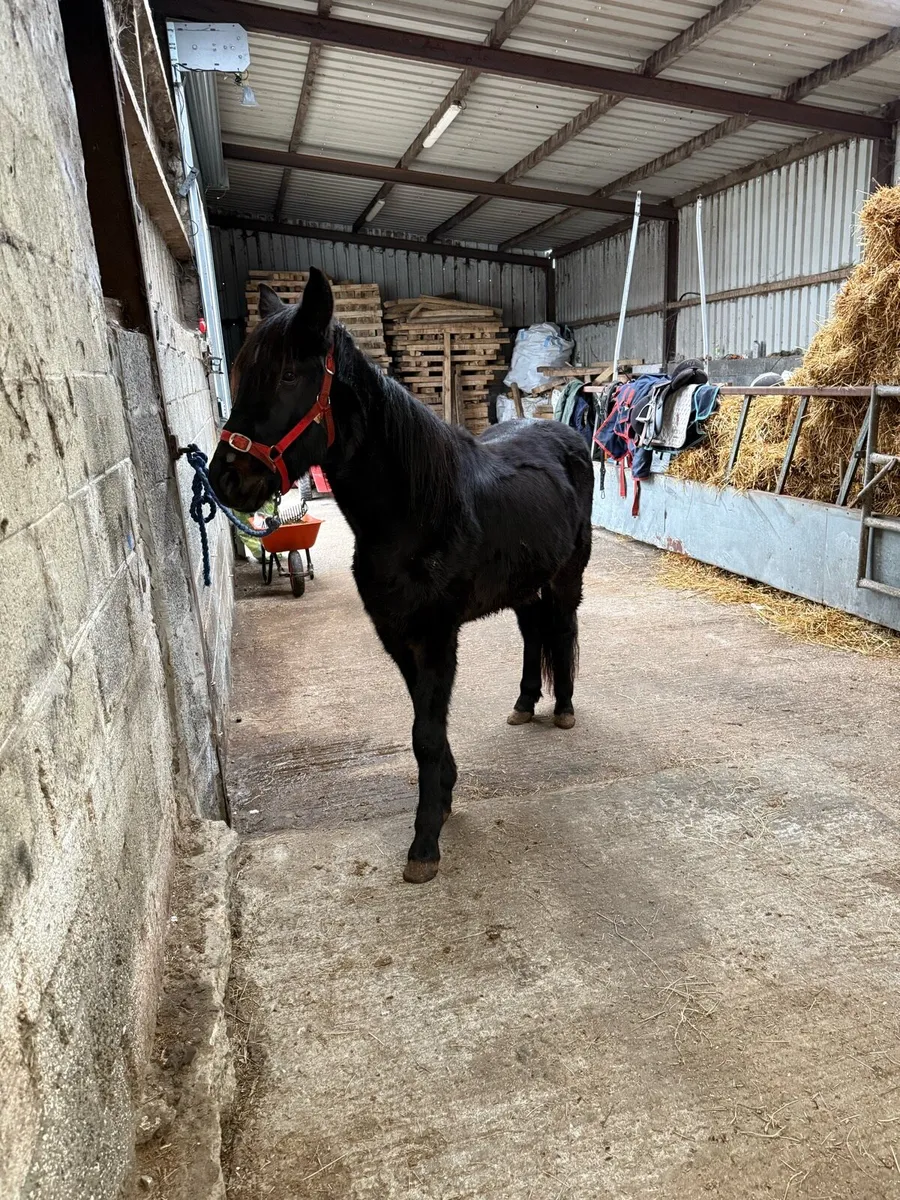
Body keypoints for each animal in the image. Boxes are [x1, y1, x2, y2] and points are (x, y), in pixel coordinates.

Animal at [209, 268, 594, 883]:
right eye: (245, 372)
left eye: (289, 374)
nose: (226, 479)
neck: (416, 513)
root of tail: (568, 435)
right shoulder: (397, 635)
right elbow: (423, 722)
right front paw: (445, 797)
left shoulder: (436, 636)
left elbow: (426, 734)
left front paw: (425, 844)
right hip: (522, 586)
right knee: (534, 634)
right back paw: (525, 703)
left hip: (565, 576)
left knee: (561, 629)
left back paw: (562, 710)